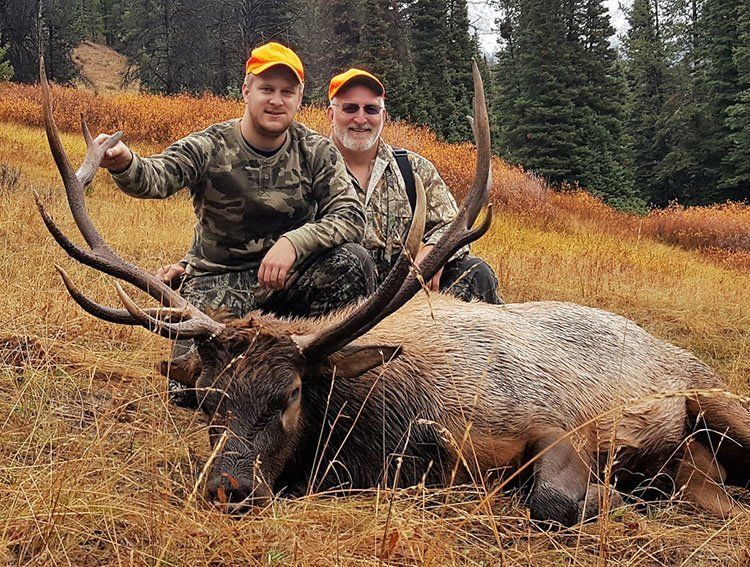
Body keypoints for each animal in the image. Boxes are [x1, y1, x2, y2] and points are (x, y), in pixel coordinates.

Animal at [36, 58, 750, 527]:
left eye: (289, 395)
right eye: (211, 401)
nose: (227, 488)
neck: (386, 432)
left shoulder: (549, 424)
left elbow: (551, 499)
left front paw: (614, 495)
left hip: (718, 399)